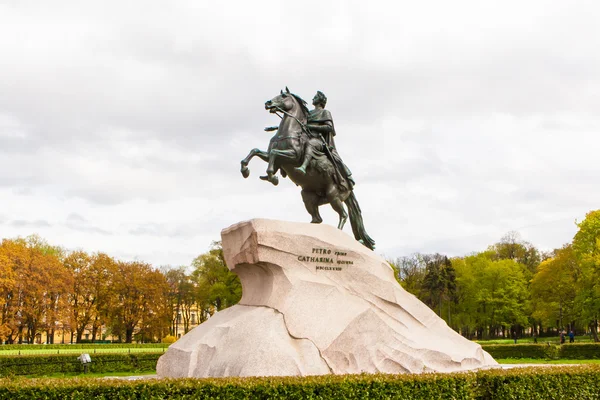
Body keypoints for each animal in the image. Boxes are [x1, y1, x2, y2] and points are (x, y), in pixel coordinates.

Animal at [240, 88, 376, 250]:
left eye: (283, 96)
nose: (268, 103)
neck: (289, 132)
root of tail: (350, 187)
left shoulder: (292, 157)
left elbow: (274, 154)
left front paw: (272, 176)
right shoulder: (273, 158)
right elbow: (255, 151)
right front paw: (245, 170)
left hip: (333, 195)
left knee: (343, 215)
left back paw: (338, 236)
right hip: (308, 197)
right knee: (317, 219)